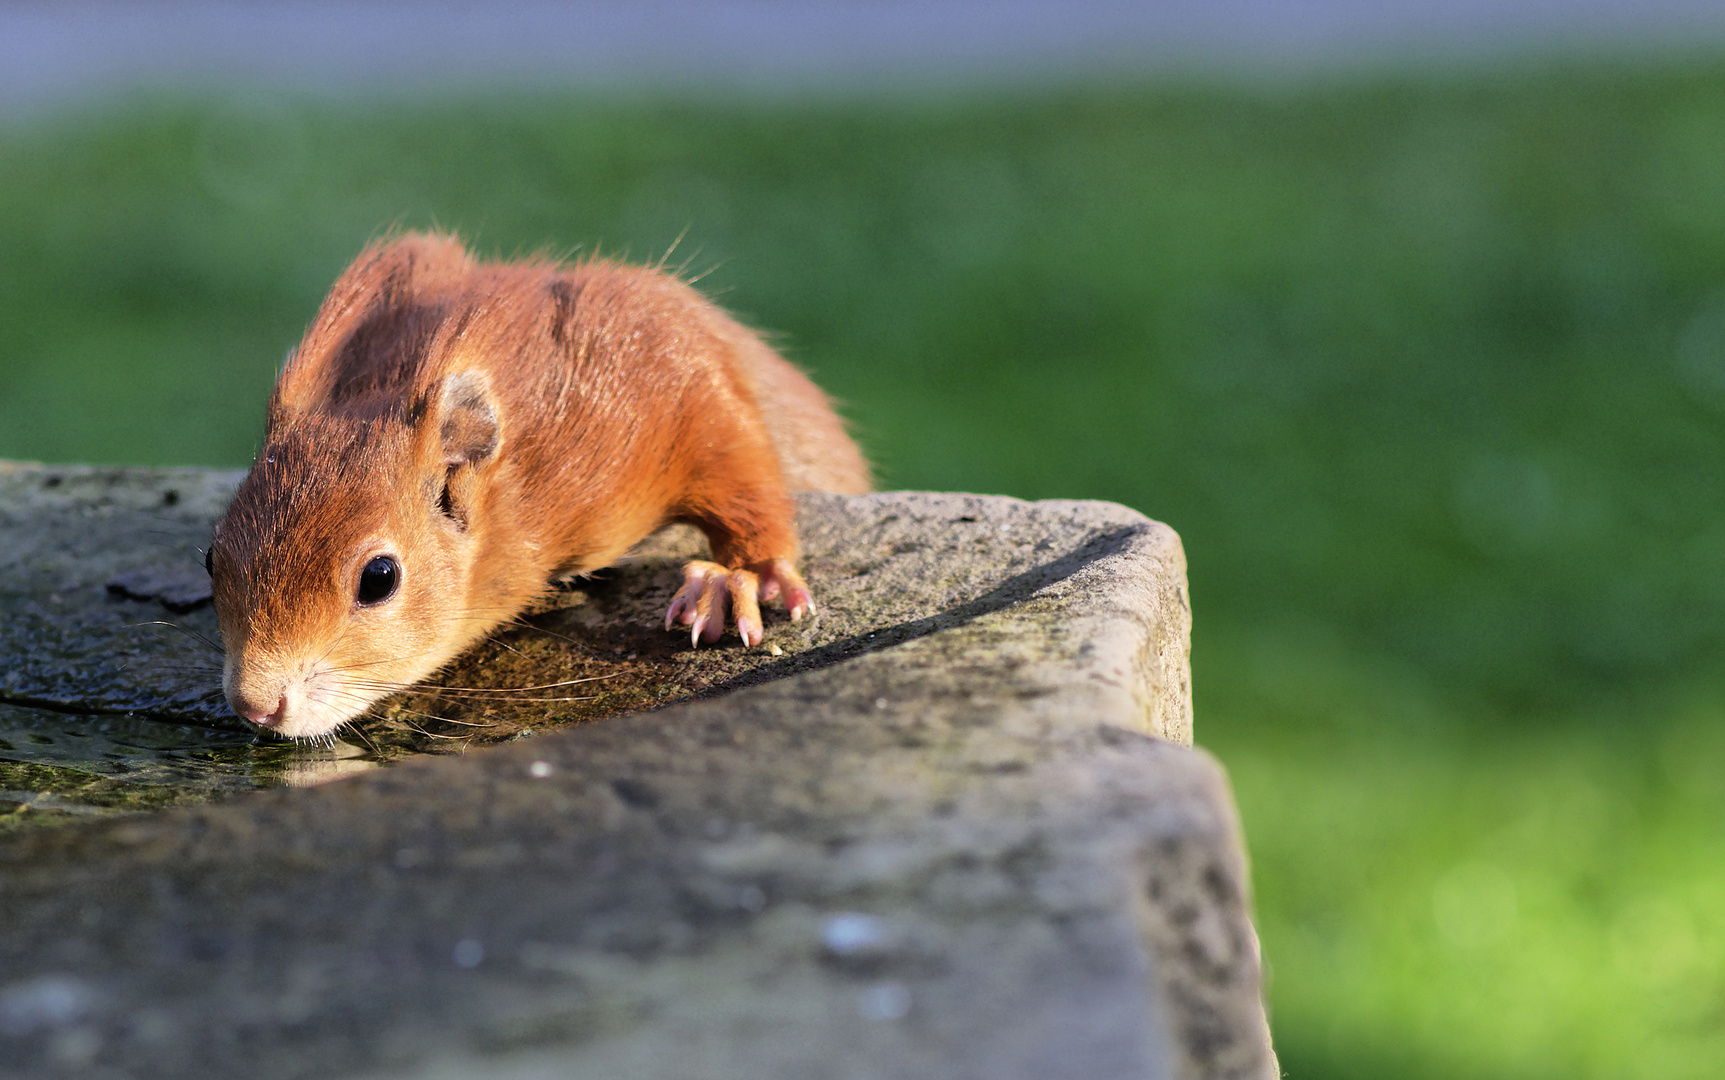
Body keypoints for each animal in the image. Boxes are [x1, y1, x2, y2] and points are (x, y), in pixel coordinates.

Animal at [207, 231, 869, 734]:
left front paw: (739, 577)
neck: (516, 481)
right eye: (211, 558)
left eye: (379, 578)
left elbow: (736, 457)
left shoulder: (657, 374)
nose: (255, 707)